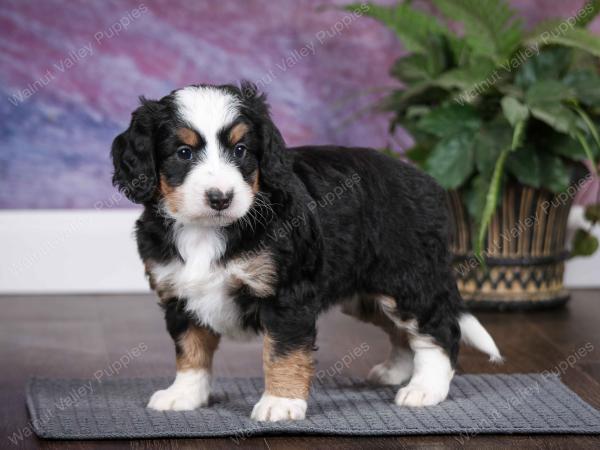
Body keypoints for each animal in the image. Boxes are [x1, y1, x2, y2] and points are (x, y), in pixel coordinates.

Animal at [109, 81, 502, 422]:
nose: (221, 198)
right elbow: (190, 349)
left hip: (407, 279)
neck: (208, 230)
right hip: (364, 293)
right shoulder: (179, 293)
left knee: (439, 328)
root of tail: (426, 182)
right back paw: (395, 371)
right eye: (183, 153)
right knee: (401, 331)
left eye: (240, 150)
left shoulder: (288, 296)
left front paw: (280, 402)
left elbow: (282, 352)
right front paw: (185, 394)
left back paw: (425, 388)